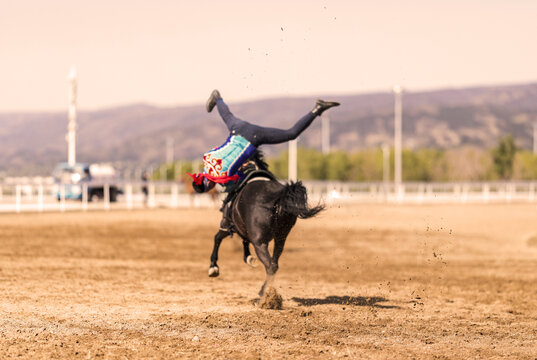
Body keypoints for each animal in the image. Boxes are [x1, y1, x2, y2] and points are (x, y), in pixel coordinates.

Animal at [206, 152, 322, 298]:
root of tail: (278, 198)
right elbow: (243, 241)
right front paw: (248, 258)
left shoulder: (227, 226)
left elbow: (217, 238)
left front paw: (213, 268)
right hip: (280, 238)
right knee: (274, 263)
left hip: (260, 243)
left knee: (270, 266)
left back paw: (263, 294)